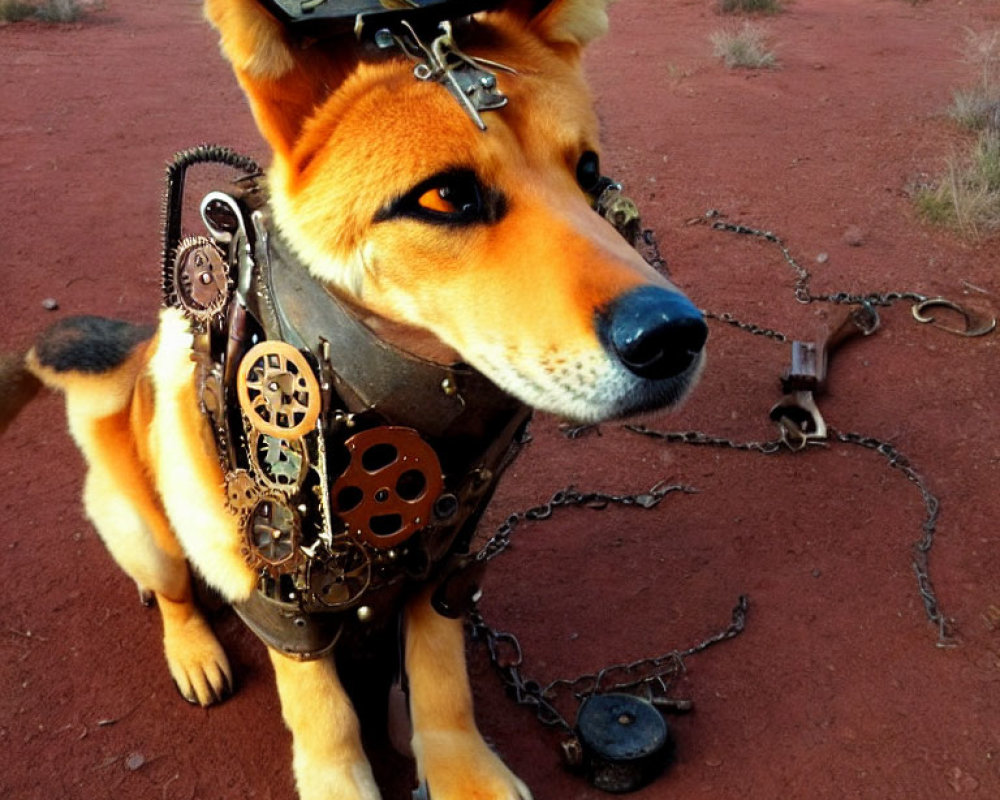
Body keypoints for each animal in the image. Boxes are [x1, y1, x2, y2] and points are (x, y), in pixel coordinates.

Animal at [0, 3, 708, 796]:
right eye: (444, 195)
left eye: (588, 172)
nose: (674, 336)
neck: (415, 410)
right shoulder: (275, 578)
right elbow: (323, 706)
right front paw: (341, 775)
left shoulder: (449, 556)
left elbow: (441, 671)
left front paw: (460, 766)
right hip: (147, 529)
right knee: (177, 593)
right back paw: (194, 650)